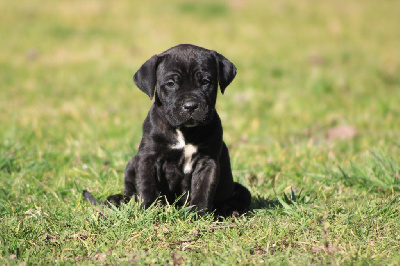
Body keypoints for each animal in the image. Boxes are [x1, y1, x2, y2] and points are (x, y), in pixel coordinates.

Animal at [84, 44, 252, 216]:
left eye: (206, 81)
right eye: (171, 83)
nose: (190, 105)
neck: (184, 132)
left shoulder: (207, 162)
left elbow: (203, 189)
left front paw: (198, 214)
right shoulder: (148, 158)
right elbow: (147, 185)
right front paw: (150, 209)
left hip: (241, 191)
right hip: (132, 163)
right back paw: (118, 200)